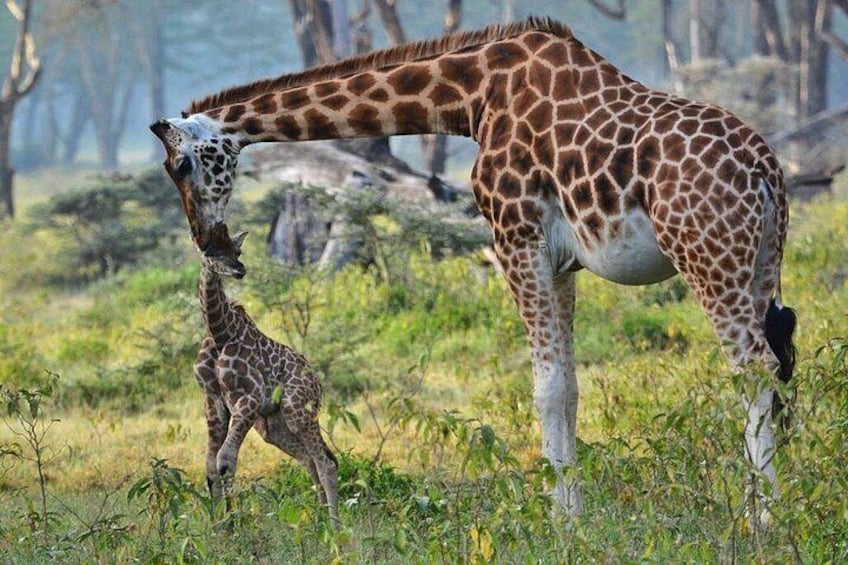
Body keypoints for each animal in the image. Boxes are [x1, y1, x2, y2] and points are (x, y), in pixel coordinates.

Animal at [195, 228, 339, 525]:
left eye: (237, 250)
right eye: (212, 251)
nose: (238, 269)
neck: (220, 332)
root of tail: (318, 382)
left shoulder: (248, 401)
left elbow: (225, 461)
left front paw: (233, 524)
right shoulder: (214, 403)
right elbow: (211, 467)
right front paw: (217, 527)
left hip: (298, 410)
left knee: (326, 462)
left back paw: (335, 525)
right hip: (273, 425)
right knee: (310, 461)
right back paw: (319, 520)